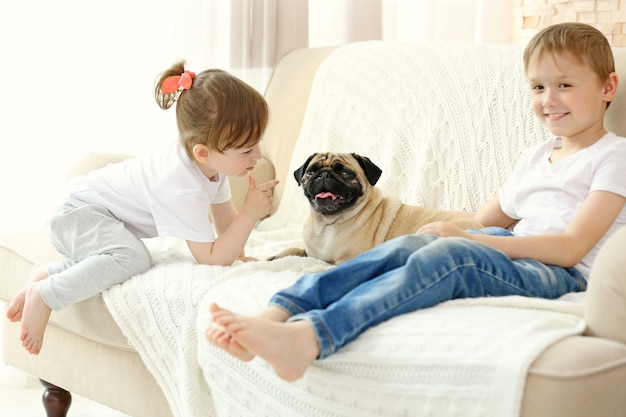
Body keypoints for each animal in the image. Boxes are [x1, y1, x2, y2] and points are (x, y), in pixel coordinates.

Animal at [270, 152, 482, 264]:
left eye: (346, 173)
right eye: (311, 171)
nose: (324, 174)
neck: (325, 224)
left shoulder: (341, 261)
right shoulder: (312, 253)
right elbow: (295, 249)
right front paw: (276, 256)